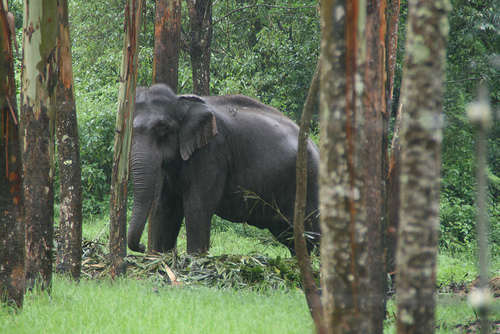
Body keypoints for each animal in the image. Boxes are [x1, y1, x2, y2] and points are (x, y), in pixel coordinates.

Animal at [126, 84, 320, 256]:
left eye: (162, 128)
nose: (142, 247)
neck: (181, 100)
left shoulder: (213, 153)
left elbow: (197, 207)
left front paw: (194, 260)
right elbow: (165, 208)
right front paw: (160, 260)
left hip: (311, 185)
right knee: (293, 240)